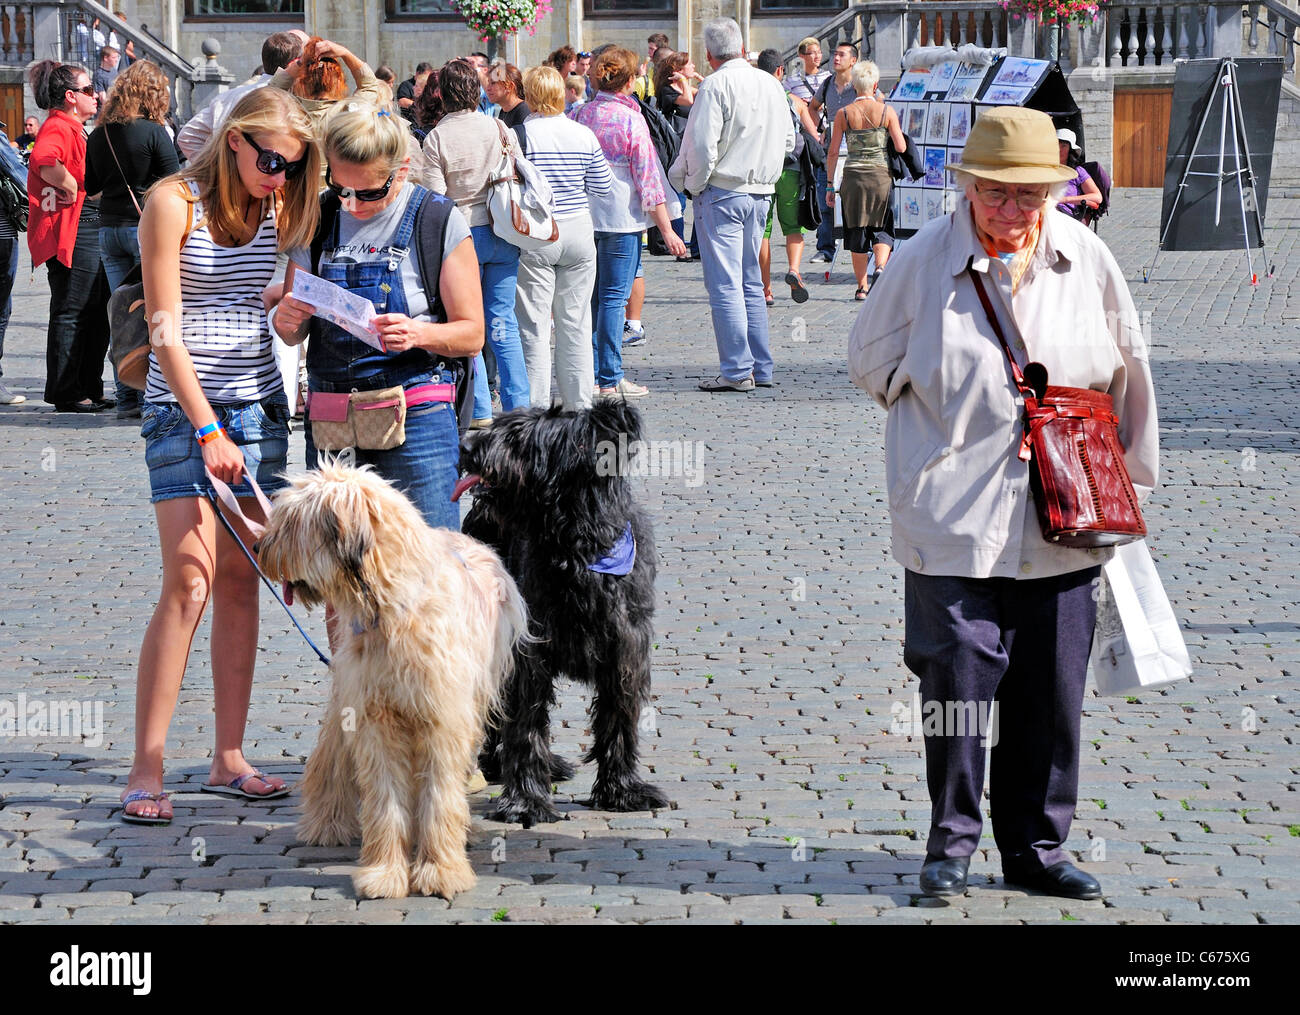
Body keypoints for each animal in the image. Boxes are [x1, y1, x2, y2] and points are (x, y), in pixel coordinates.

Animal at [258, 462, 527, 899]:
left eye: (292, 522)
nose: (258, 546)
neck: (391, 608)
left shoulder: (443, 719)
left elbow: (439, 794)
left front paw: (440, 869)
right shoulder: (373, 717)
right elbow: (385, 800)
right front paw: (385, 872)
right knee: (331, 757)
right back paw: (326, 823)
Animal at [454, 395, 670, 821]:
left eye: (518, 437)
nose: (465, 447)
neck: (573, 547)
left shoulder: (626, 653)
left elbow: (618, 720)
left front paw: (622, 791)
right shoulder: (528, 654)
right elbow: (525, 725)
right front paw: (526, 801)